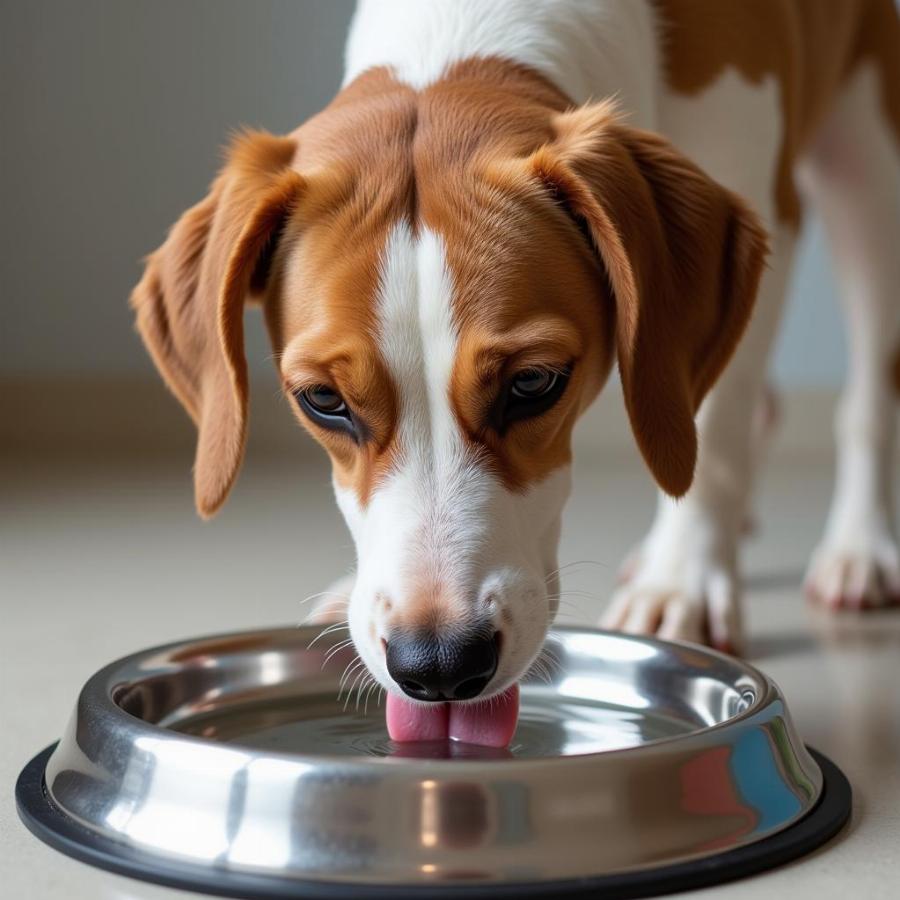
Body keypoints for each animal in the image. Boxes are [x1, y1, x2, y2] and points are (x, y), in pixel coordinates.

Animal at [134, 0, 900, 744]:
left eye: (533, 383)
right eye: (322, 399)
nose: (438, 664)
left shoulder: (768, 202)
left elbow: (713, 438)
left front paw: (682, 581)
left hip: (870, 165)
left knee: (863, 389)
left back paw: (858, 548)